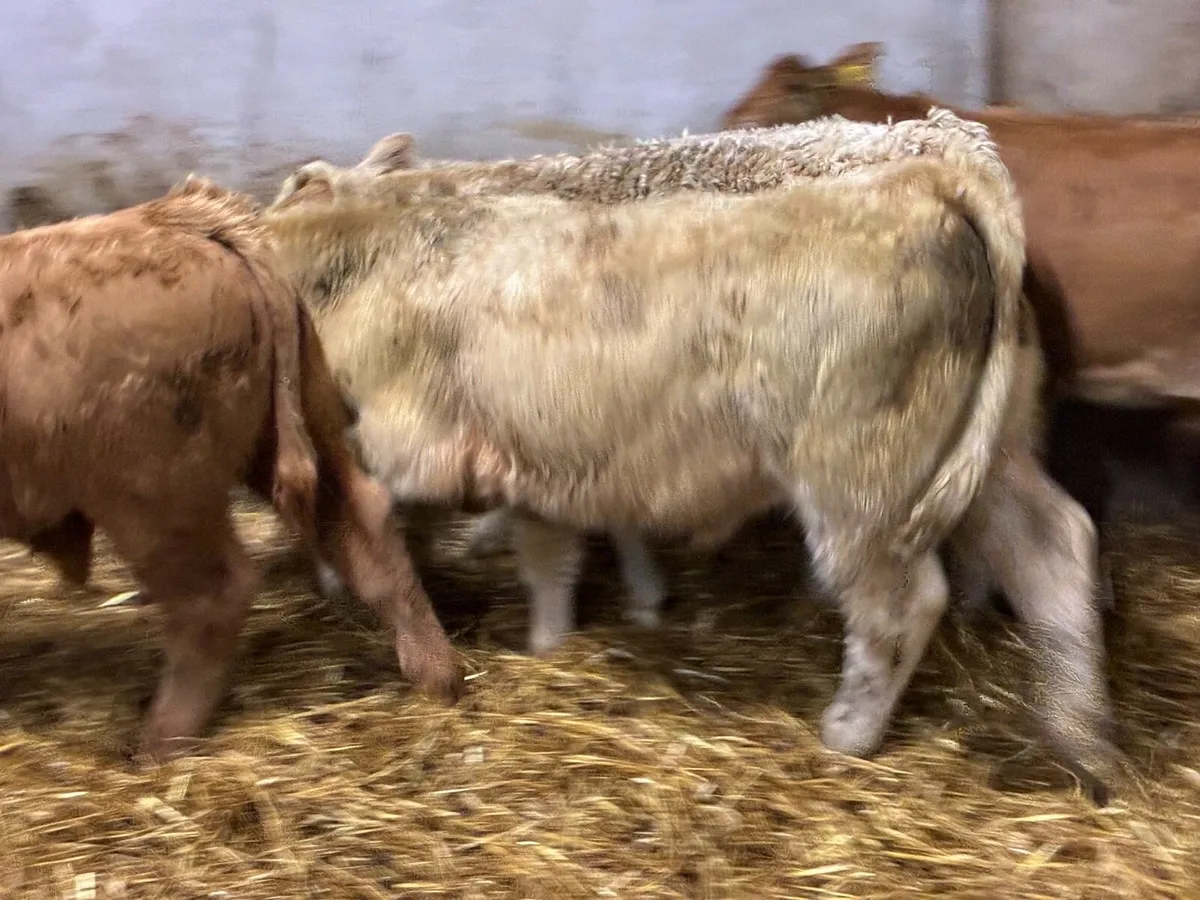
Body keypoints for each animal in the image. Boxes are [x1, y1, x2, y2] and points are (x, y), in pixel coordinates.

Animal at [0, 176, 463, 760]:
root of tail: (184, 218)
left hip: (151, 500)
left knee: (213, 593)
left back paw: (158, 741)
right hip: (303, 431)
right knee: (363, 523)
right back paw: (437, 677)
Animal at [261, 115, 1118, 802]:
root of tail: (936, 172)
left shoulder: (431, 442)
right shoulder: (547, 453)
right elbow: (559, 553)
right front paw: (583, 627)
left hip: (860, 480)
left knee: (900, 605)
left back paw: (849, 733)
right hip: (984, 460)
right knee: (1051, 551)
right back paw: (1081, 739)